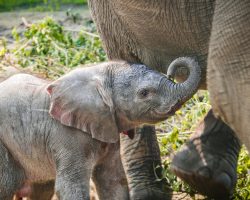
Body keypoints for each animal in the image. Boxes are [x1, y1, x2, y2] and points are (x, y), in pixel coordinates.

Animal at [0, 58, 199, 199]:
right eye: (144, 93)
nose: (171, 71)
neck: (98, 73)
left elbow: (111, 182)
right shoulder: (67, 137)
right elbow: (70, 187)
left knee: (41, 189)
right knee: (7, 186)